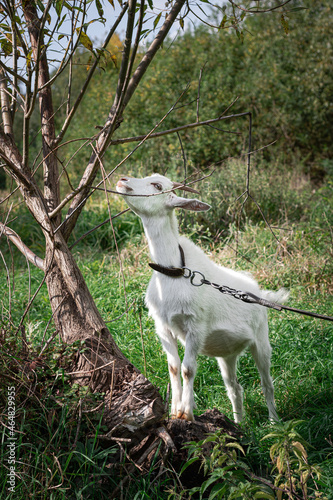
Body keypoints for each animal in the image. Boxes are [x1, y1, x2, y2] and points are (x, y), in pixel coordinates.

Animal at [115, 173, 286, 422]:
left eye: (157, 185)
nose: (122, 180)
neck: (174, 271)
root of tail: (260, 293)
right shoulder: (162, 326)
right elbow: (173, 367)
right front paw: (174, 410)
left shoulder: (195, 326)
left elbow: (188, 369)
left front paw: (186, 412)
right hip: (226, 355)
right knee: (234, 387)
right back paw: (240, 423)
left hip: (261, 338)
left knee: (267, 382)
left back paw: (274, 421)